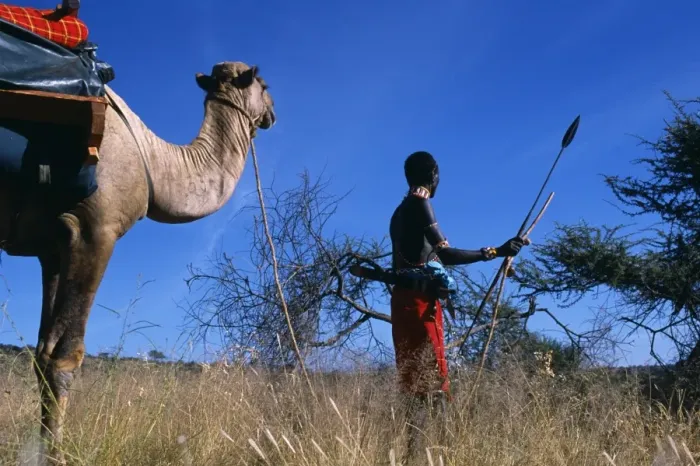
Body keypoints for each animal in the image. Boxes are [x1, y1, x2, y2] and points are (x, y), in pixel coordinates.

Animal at [0, 61, 276, 464]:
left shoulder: (51, 250)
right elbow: (63, 357)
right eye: (264, 84)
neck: (151, 161)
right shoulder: (94, 229)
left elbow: (41, 353)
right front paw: (55, 457)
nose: (273, 111)